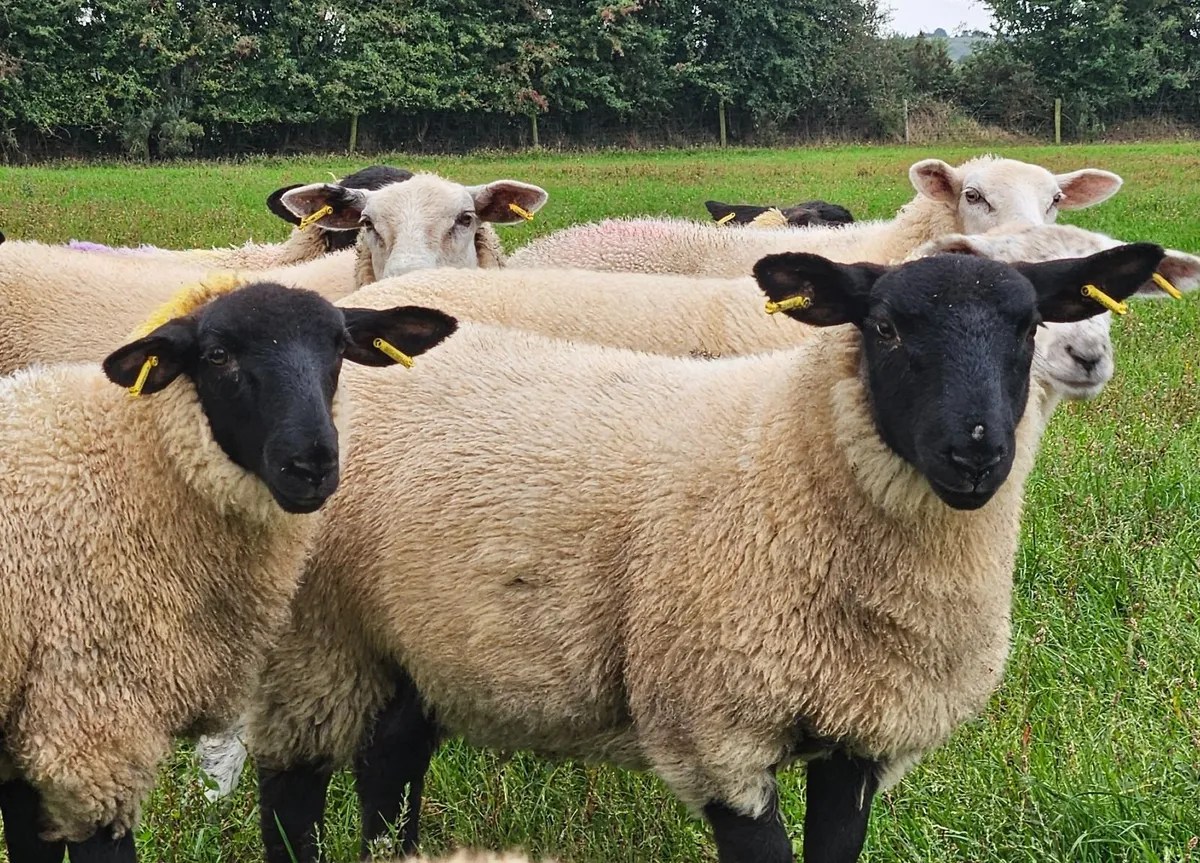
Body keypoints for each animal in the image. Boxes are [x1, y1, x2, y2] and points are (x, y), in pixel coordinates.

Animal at [0, 279, 458, 863]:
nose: (311, 465)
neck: (128, 465)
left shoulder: (24, 733)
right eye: (218, 355)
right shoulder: (90, 725)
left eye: (337, 345)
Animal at [243, 243, 1166, 863]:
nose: (975, 453)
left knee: (389, 762)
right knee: (292, 793)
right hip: (311, 638)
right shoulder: (716, 729)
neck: (783, 460)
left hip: (408, 636)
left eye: (1028, 326)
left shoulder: (864, 730)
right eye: (885, 327)